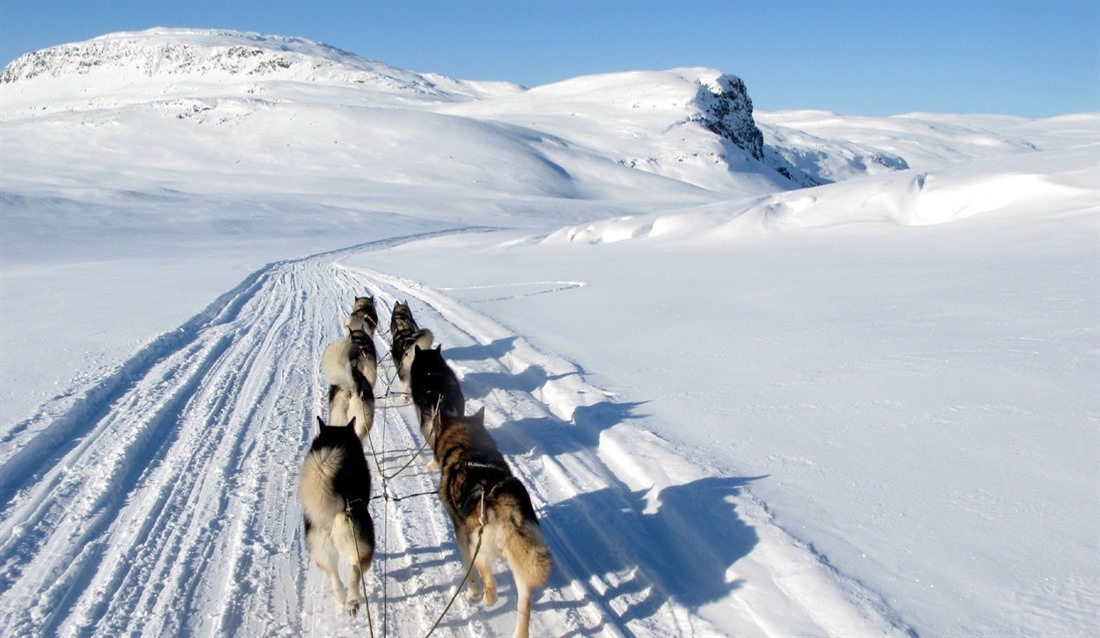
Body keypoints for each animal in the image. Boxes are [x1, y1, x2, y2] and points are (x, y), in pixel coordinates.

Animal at [299, 418, 376, 616]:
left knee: (334, 576)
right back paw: (353, 601)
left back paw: (343, 599)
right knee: (354, 573)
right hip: (360, 549)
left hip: (322, 551)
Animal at [429, 409, 550, 638]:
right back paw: (519, 632)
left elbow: (469, 570)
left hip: (479, 550)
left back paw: (486, 600)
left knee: (490, 583)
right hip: (520, 562)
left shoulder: (461, 534)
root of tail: (505, 506)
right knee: (524, 603)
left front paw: (473, 592)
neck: (468, 445)